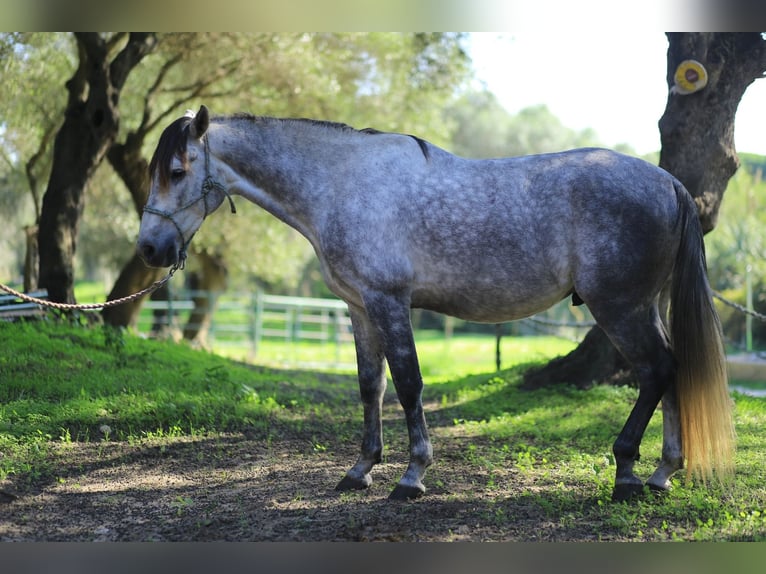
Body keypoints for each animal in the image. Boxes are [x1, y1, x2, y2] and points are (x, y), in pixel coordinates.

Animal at [140, 106, 736, 502]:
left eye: (177, 171)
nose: (150, 249)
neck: (342, 184)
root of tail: (669, 183)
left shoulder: (389, 303)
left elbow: (408, 385)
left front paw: (412, 477)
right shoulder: (360, 308)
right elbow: (371, 387)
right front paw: (359, 471)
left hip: (619, 307)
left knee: (656, 370)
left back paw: (628, 472)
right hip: (644, 306)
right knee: (671, 371)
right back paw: (662, 473)